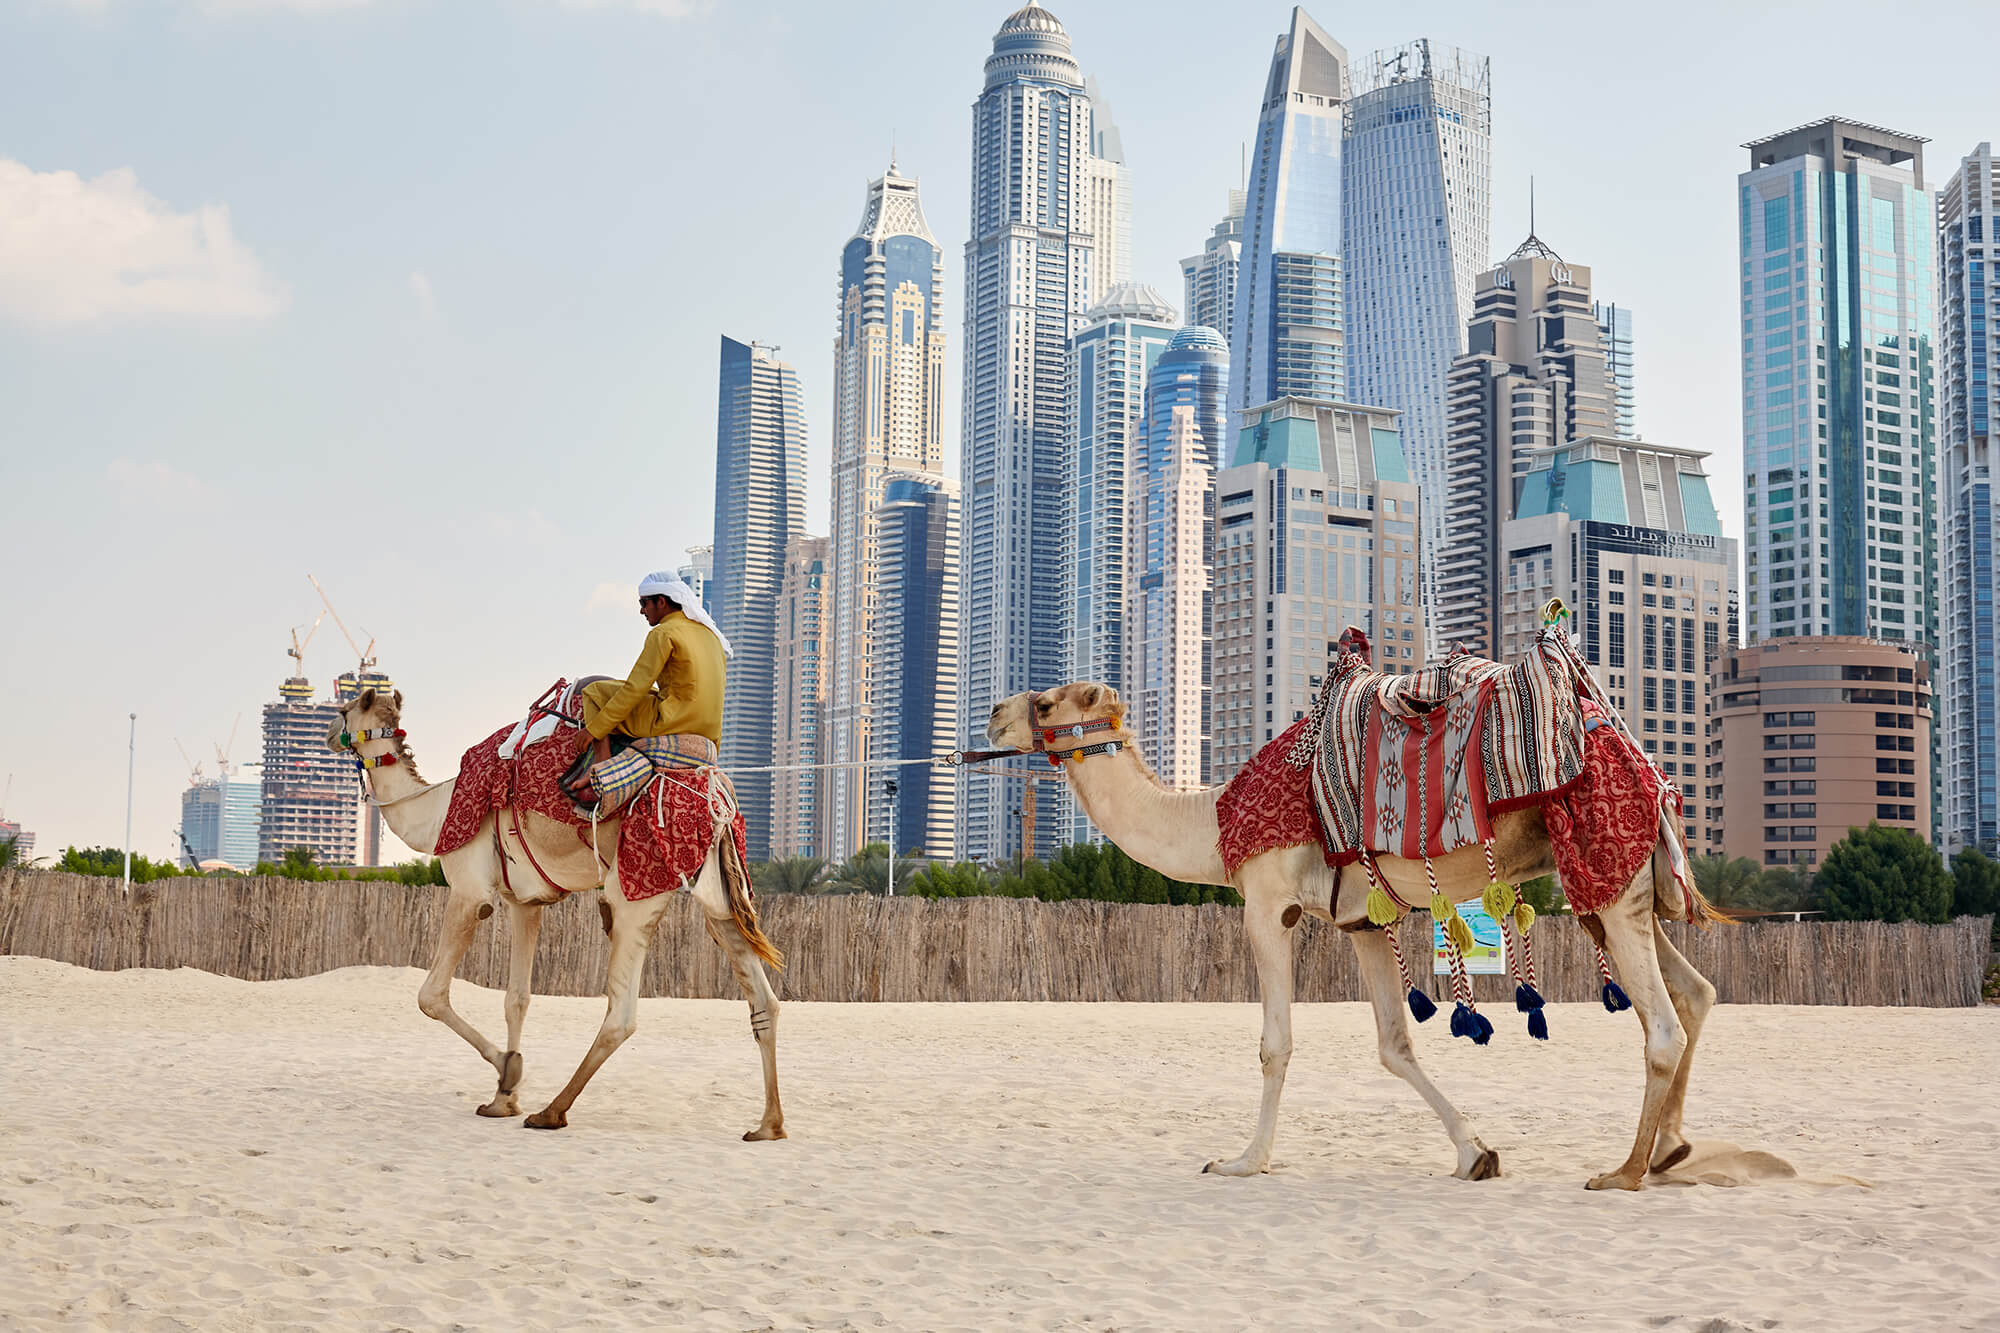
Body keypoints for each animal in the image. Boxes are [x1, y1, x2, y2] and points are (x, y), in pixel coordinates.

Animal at [327, 687, 786, 1138]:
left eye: (345, 708)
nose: (330, 733)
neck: (435, 814)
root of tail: (718, 798)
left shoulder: (469, 892)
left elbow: (431, 996)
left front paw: (507, 1070)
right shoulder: (524, 902)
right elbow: (517, 998)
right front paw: (503, 1097)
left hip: (634, 891)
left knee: (621, 1015)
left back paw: (551, 1112)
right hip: (721, 896)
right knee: (763, 999)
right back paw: (769, 1124)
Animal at [986, 682, 1717, 1190]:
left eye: (1045, 702)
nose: (993, 714)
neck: (1213, 820)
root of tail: (1647, 766)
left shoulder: (1268, 904)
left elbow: (1275, 1045)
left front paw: (1243, 1161)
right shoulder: (1365, 918)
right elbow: (1395, 1044)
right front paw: (1475, 1153)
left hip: (1603, 867)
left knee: (1662, 1024)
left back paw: (1623, 1171)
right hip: (1621, 885)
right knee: (1696, 992)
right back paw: (1672, 1150)